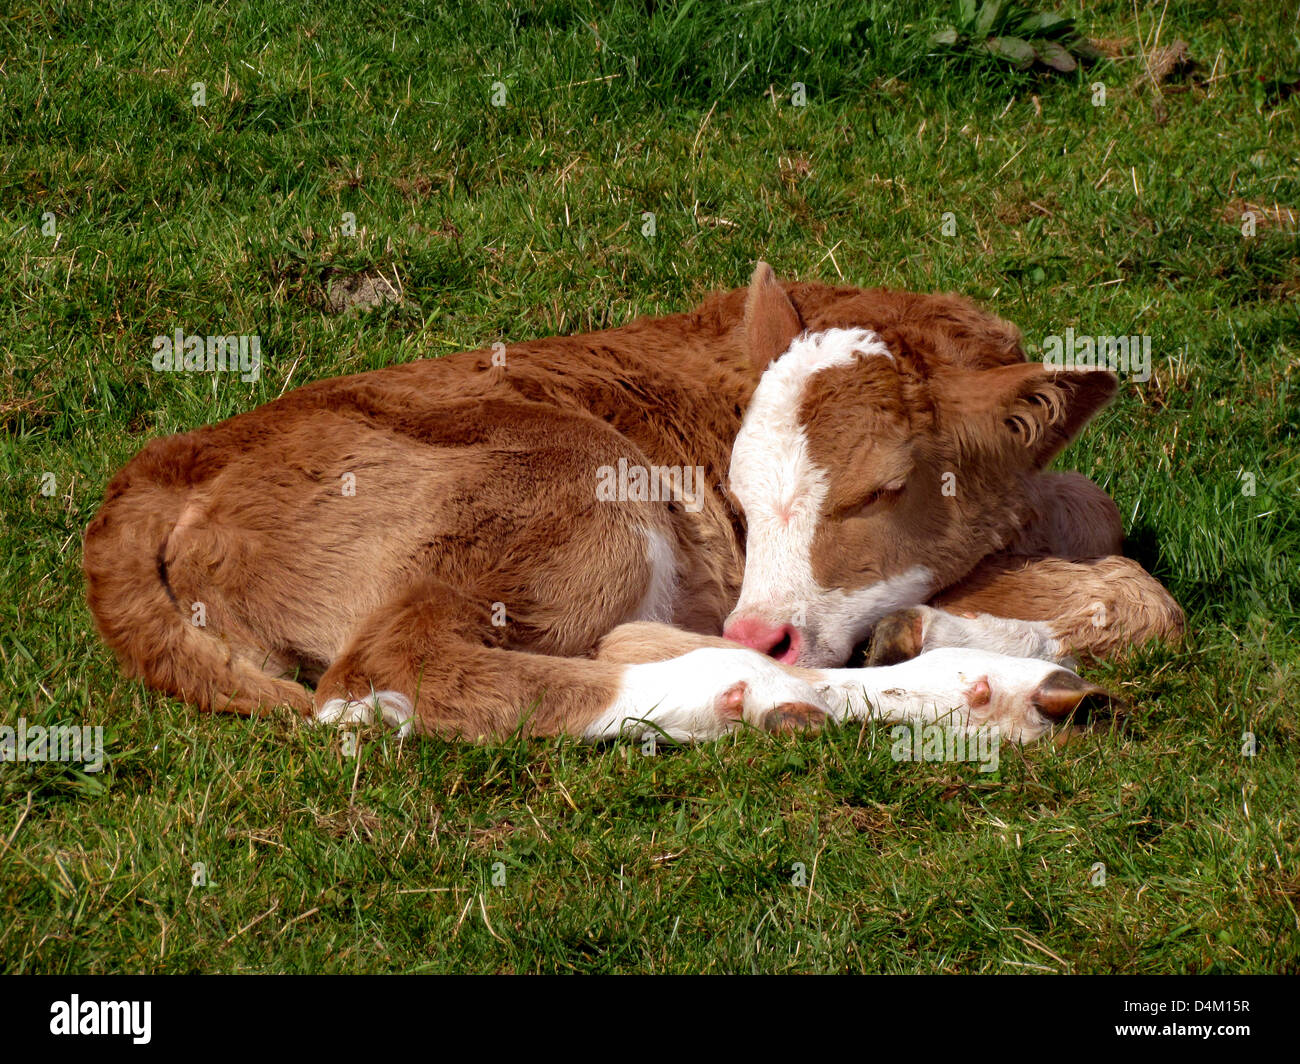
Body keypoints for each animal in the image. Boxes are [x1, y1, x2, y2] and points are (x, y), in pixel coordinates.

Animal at [78, 264, 1180, 744]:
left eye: (884, 489)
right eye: (739, 488)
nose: (759, 626)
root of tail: (163, 462)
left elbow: (1096, 512)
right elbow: (1153, 599)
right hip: (572, 479)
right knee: (398, 663)